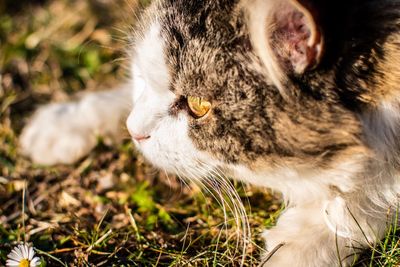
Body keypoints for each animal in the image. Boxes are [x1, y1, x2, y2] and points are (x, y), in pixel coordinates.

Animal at [19, 0, 400, 266]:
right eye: (143, 72)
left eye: (198, 105)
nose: (134, 133)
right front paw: (65, 123)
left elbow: (372, 188)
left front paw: (303, 243)